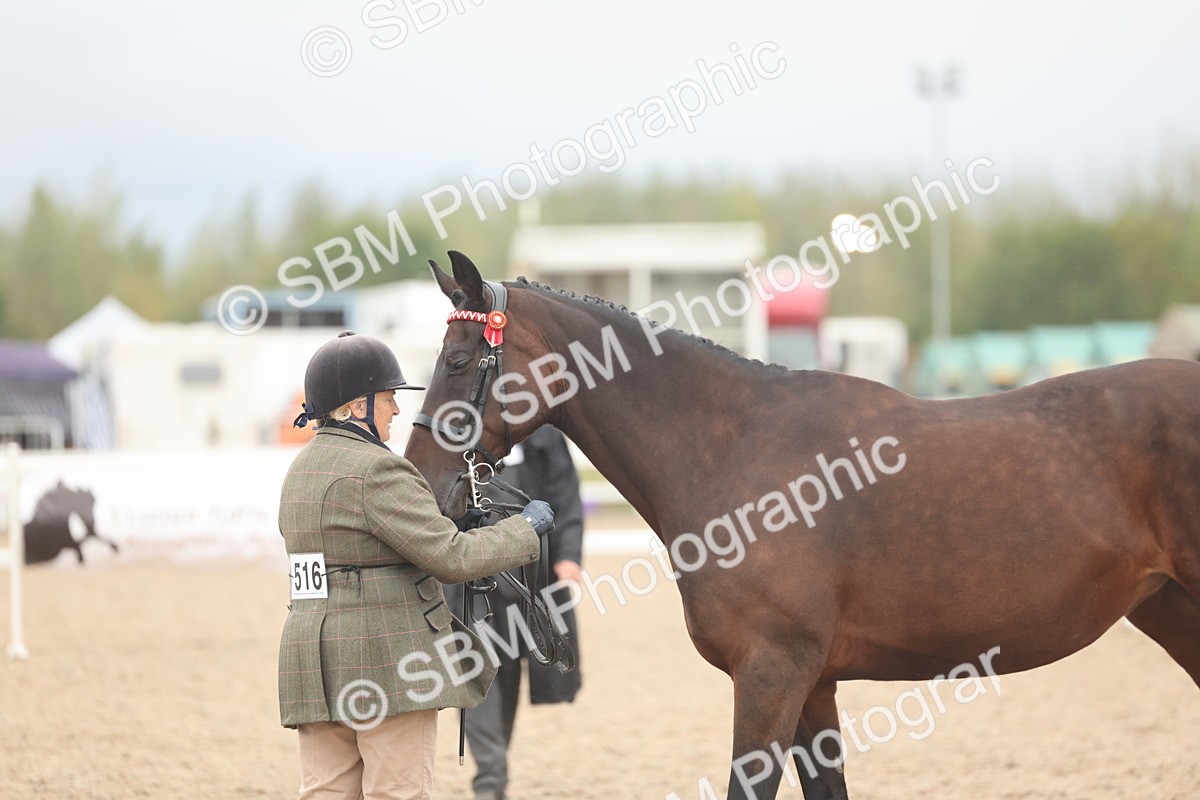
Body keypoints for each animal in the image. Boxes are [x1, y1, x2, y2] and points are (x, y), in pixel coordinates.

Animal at [403, 251, 1200, 800]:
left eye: (458, 360)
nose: (426, 486)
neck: (734, 448)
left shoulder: (771, 674)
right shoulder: (814, 685)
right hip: (1170, 609)